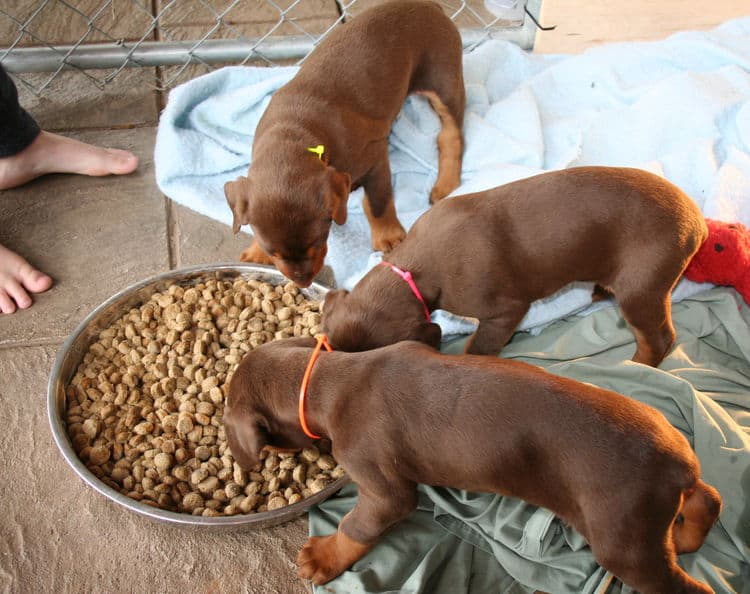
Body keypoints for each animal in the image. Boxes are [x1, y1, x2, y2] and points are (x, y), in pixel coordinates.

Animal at [226, 0, 468, 286]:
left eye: (317, 241)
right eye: (273, 252)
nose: (303, 281)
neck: (293, 135)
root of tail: (428, 5)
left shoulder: (375, 157)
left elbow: (379, 201)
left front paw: (388, 237)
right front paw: (255, 252)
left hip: (443, 77)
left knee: (451, 133)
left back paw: (445, 184)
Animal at [324, 164, 712, 364]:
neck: (411, 270)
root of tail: (697, 221)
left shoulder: (504, 311)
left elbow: (480, 345)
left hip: (641, 291)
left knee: (659, 339)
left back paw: (637, 365)